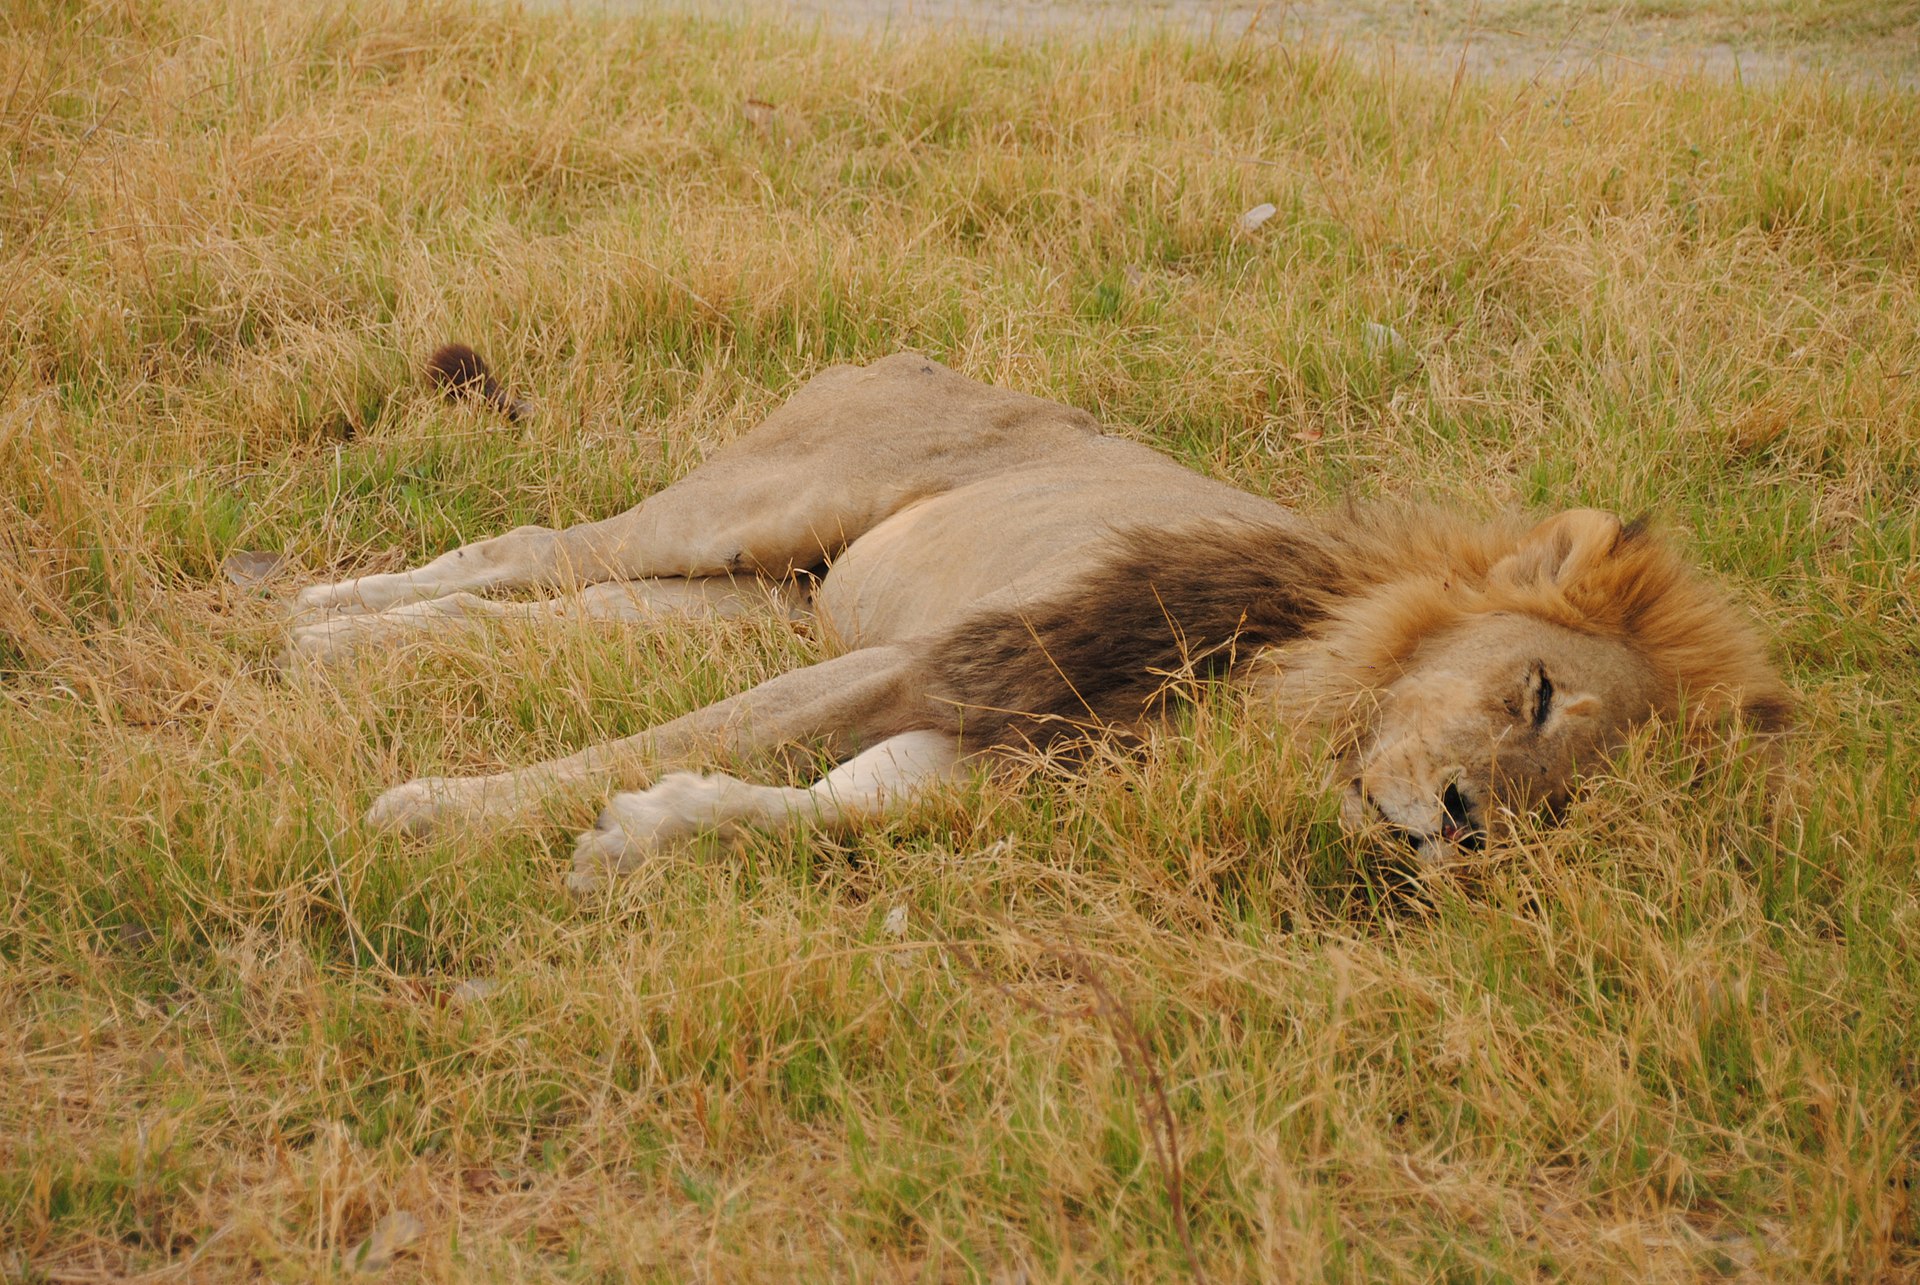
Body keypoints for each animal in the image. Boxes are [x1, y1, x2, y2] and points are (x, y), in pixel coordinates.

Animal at [289, 349, 1791, 892]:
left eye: (1568, 807)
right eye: (1535, 693)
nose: (1469, 828)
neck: (1291, 689)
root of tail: (902, 350)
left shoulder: (1017, 749)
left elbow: (828, 807)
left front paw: (644, 832)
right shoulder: (946, 660)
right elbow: (692, 743)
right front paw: (434, 816)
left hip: (751, 600)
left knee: (573, 605)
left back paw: (350, 644)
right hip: (758, 508)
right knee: (537, 546)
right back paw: (318, 622)